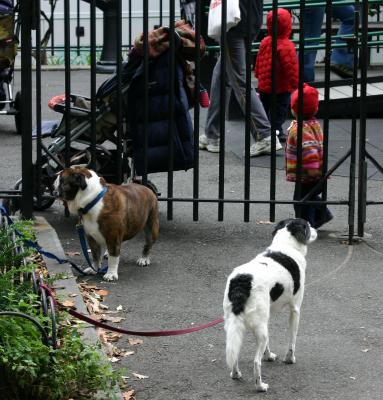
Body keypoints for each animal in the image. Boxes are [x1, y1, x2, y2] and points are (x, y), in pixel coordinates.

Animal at [224, 219, 316, 390]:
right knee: (256, 362)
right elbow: (292, 338)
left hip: (234, 324)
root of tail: (242, 281)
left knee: (234, 351)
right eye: (308, 225)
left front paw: (269, 356)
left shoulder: (268, 314)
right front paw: (289, 359)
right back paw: (260, 386)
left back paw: (235, 374)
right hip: (258, 327)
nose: (316, 230)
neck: (285, 245)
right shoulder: (295, 310)